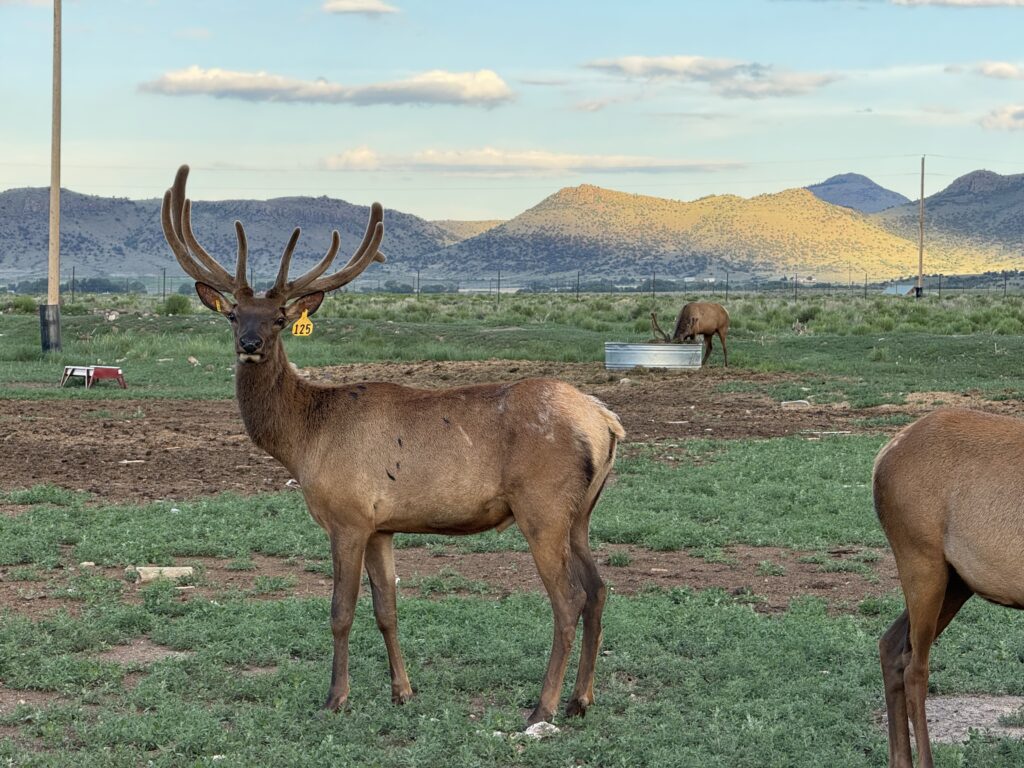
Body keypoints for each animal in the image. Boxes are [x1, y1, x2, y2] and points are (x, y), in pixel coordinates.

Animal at [160, 165, 622, 724]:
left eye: (278, 318)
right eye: (233, 315)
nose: (250, 345)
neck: (303, 439)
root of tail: (606, 421)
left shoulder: (349, 516)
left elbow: (340, 611)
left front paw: (336, 697)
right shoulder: (382, 526)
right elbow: (387, 609)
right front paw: (403, 691)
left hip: (543, 508)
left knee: (569, 599)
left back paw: (543, 707)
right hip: (581, 515)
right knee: (598, 590)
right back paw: (581, 698)